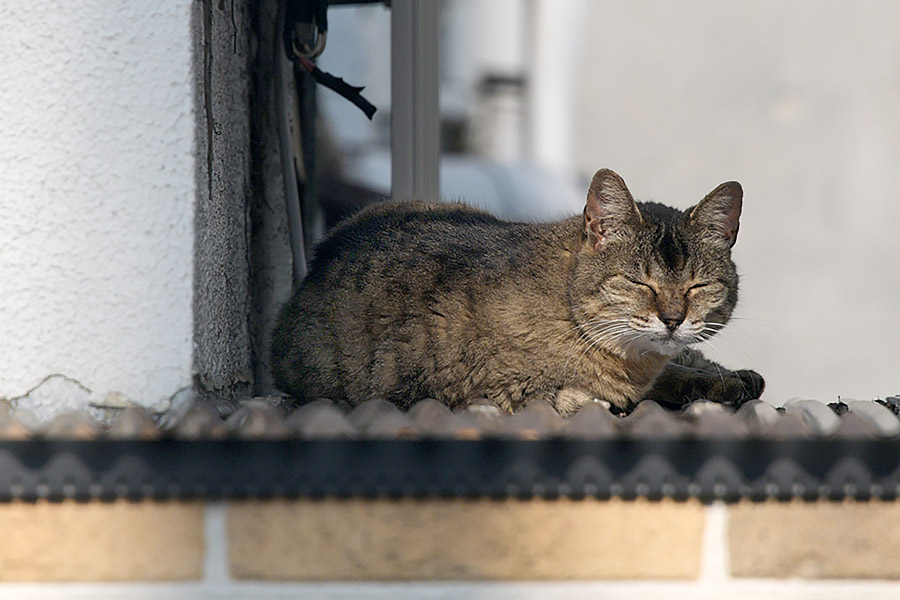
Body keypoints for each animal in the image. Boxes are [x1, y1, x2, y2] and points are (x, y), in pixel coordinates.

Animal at [270, 168, 764, 412]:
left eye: (698, 286)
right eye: (638, 281)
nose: (673, 319)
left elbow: (676, 369)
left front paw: (720, 377)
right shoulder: (495, 390)